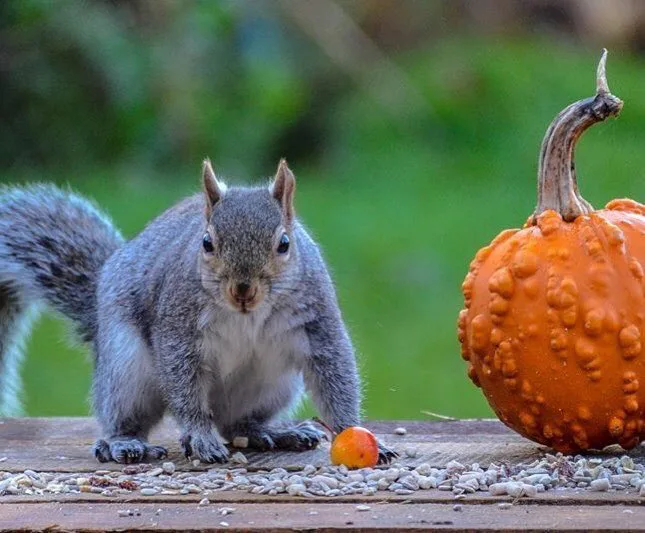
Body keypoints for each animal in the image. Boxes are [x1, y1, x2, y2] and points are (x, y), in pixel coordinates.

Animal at [0, 159, 396, 464]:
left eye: (284, 244)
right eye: (206, 243)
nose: (242, 290)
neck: (247, 316)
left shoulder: (317, 321)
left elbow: (334, 373)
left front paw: (354, 431)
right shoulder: (179, 328)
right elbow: (185, 386)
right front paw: (201, 437)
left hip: (273, 385)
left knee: (236, 424)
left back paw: (272, 432)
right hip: (125, 369)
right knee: (125, 415)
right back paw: (125, 443)